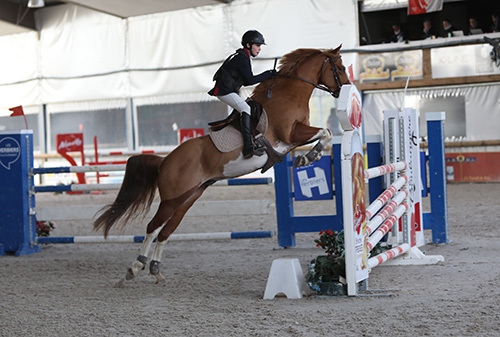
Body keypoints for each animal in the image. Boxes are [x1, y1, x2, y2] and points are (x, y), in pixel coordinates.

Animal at [94, 45, 352, 286]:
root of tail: (165, 160)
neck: (288, 95)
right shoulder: (290, 134)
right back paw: (135, 268)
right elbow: (325, 132)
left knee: (166, 230)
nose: (345, 89)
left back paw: (156, 270)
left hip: (189, 198)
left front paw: (308, 157)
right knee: (153, 227)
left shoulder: (293, 140)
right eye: (340, 68)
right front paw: (308, 157)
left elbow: (325, 134)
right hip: (172, 199)